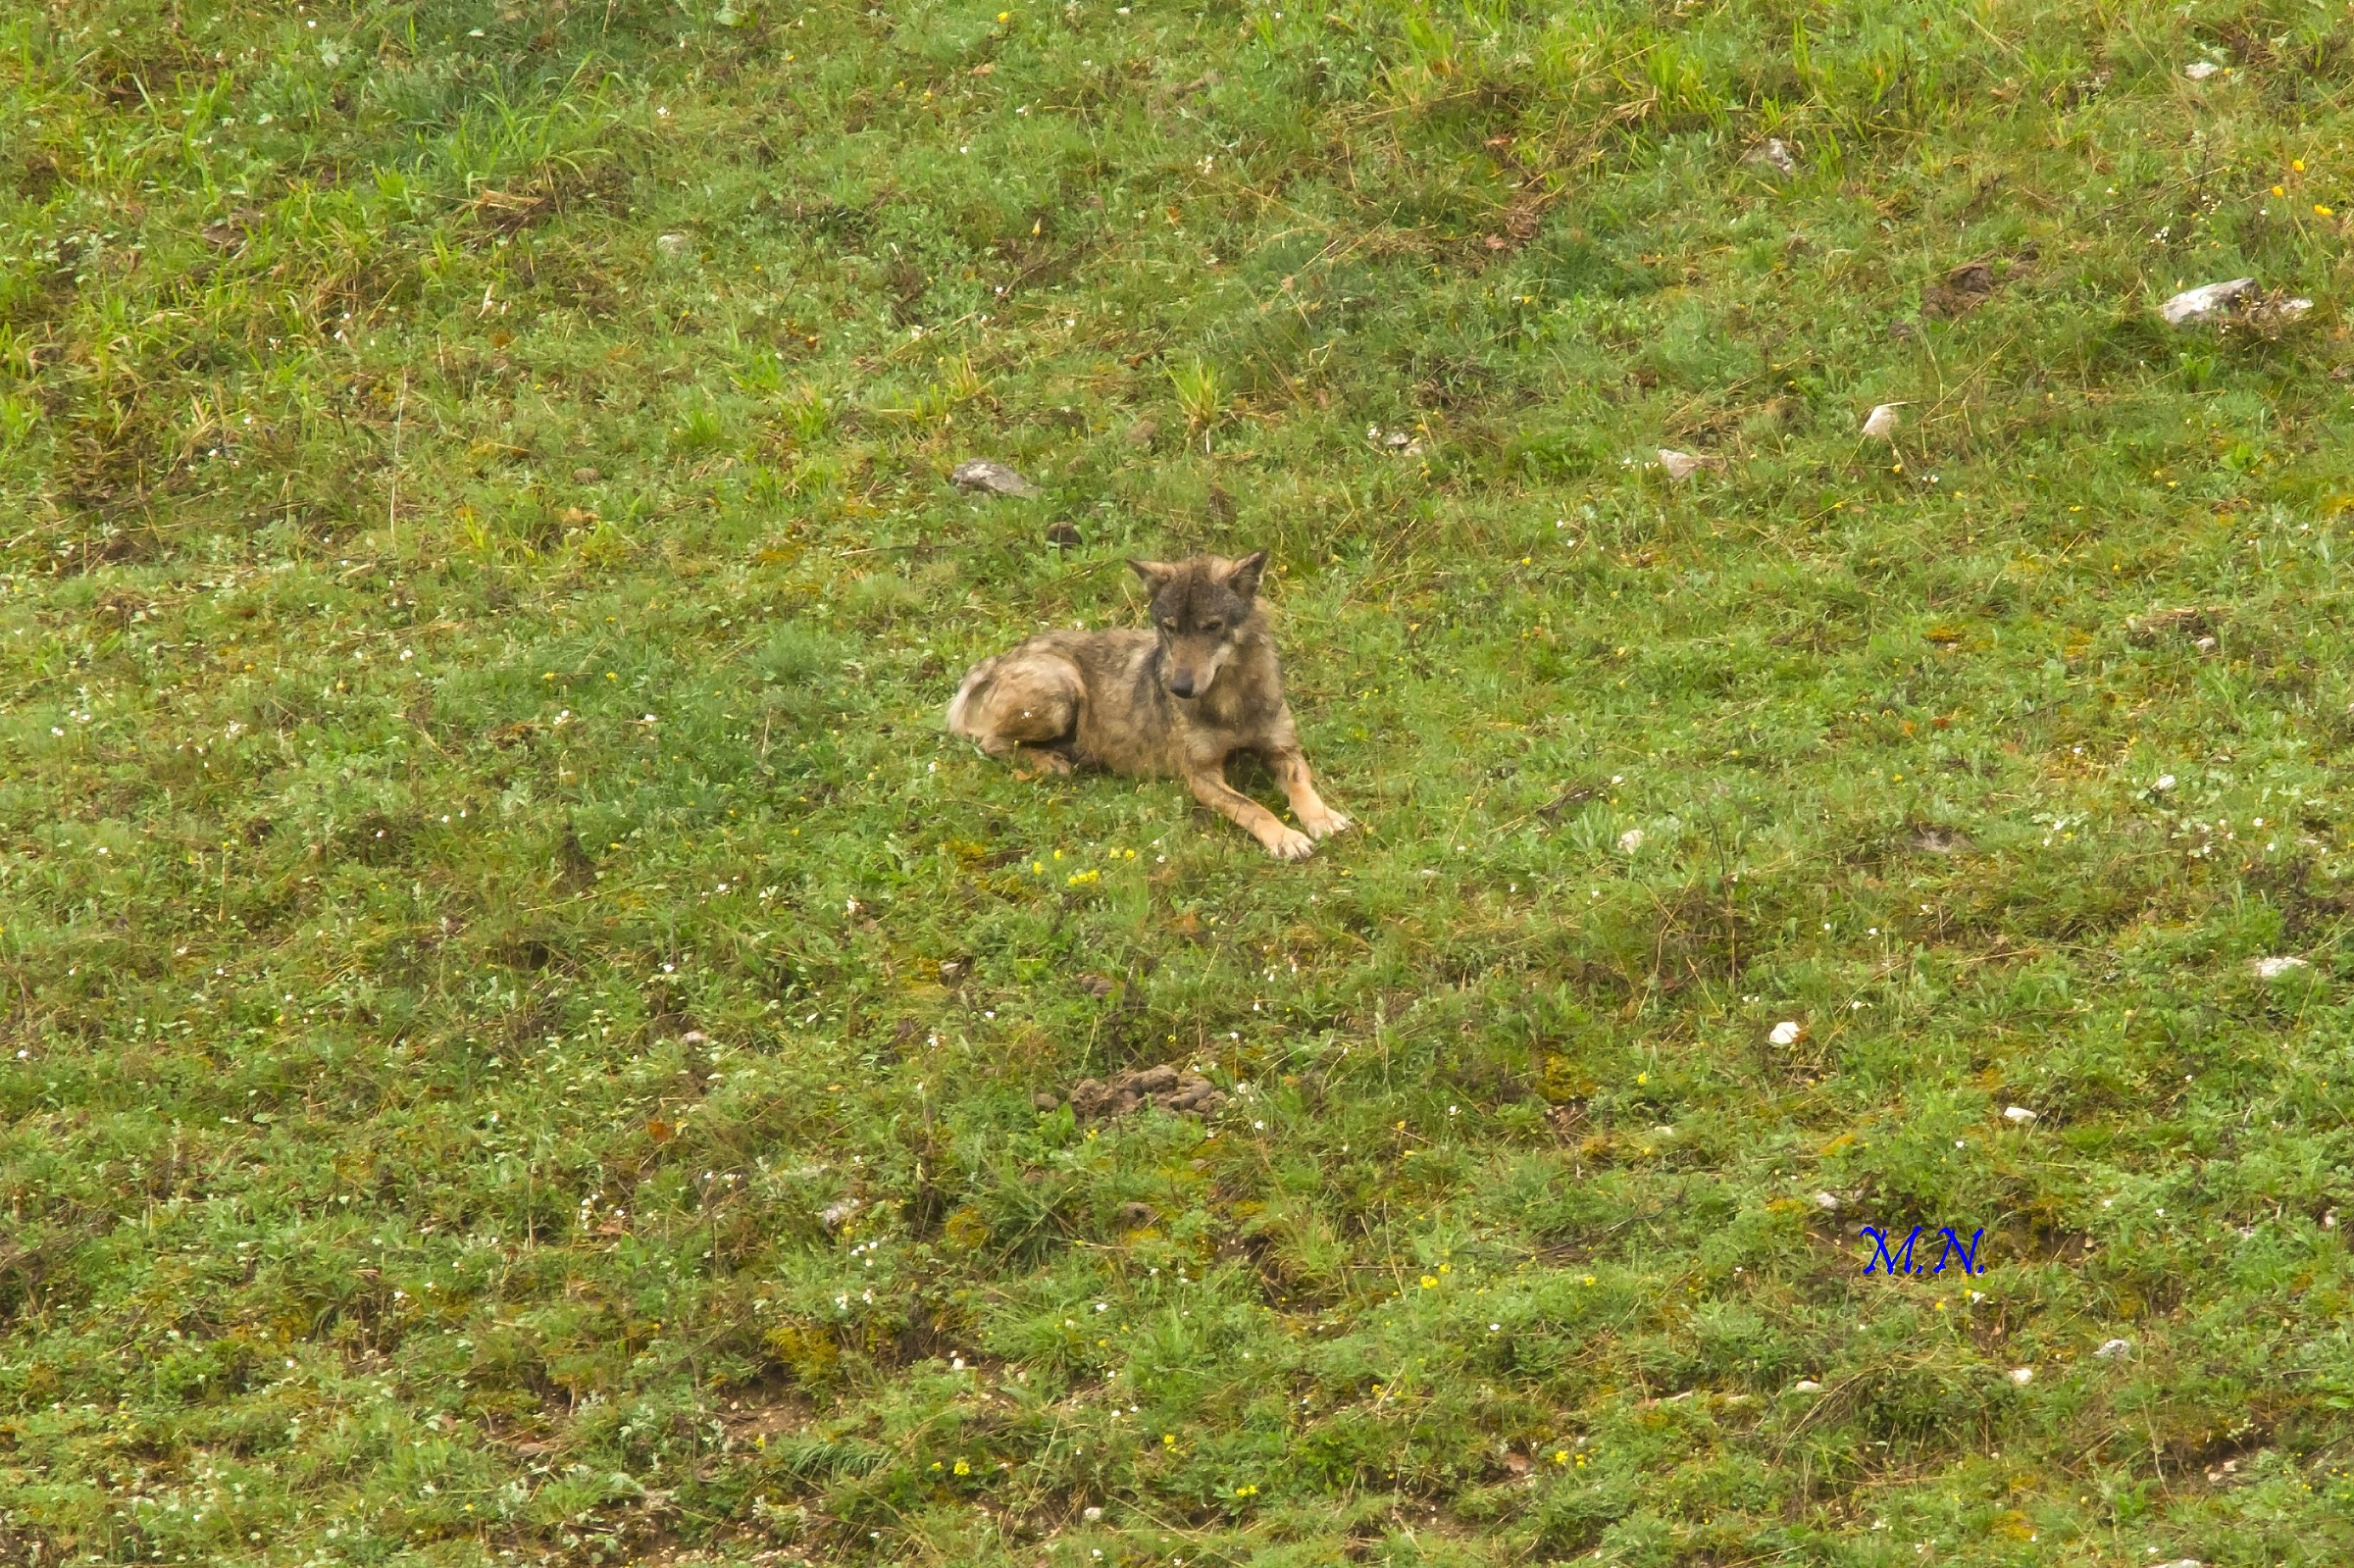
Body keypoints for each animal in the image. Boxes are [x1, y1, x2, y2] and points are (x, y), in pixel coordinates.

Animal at [946, 551, 1351, 860]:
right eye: (1169, 627)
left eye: (1211, 626)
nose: (1179, 688)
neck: (1230, 701)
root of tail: (1001, 658)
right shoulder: (1203, 777)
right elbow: (1252, 807)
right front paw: (1286, 838)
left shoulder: (1283, 750)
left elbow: (1301, 786)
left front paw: (1323, 819)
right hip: (1063, 690)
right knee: (991, 742)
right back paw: (1050, 762)